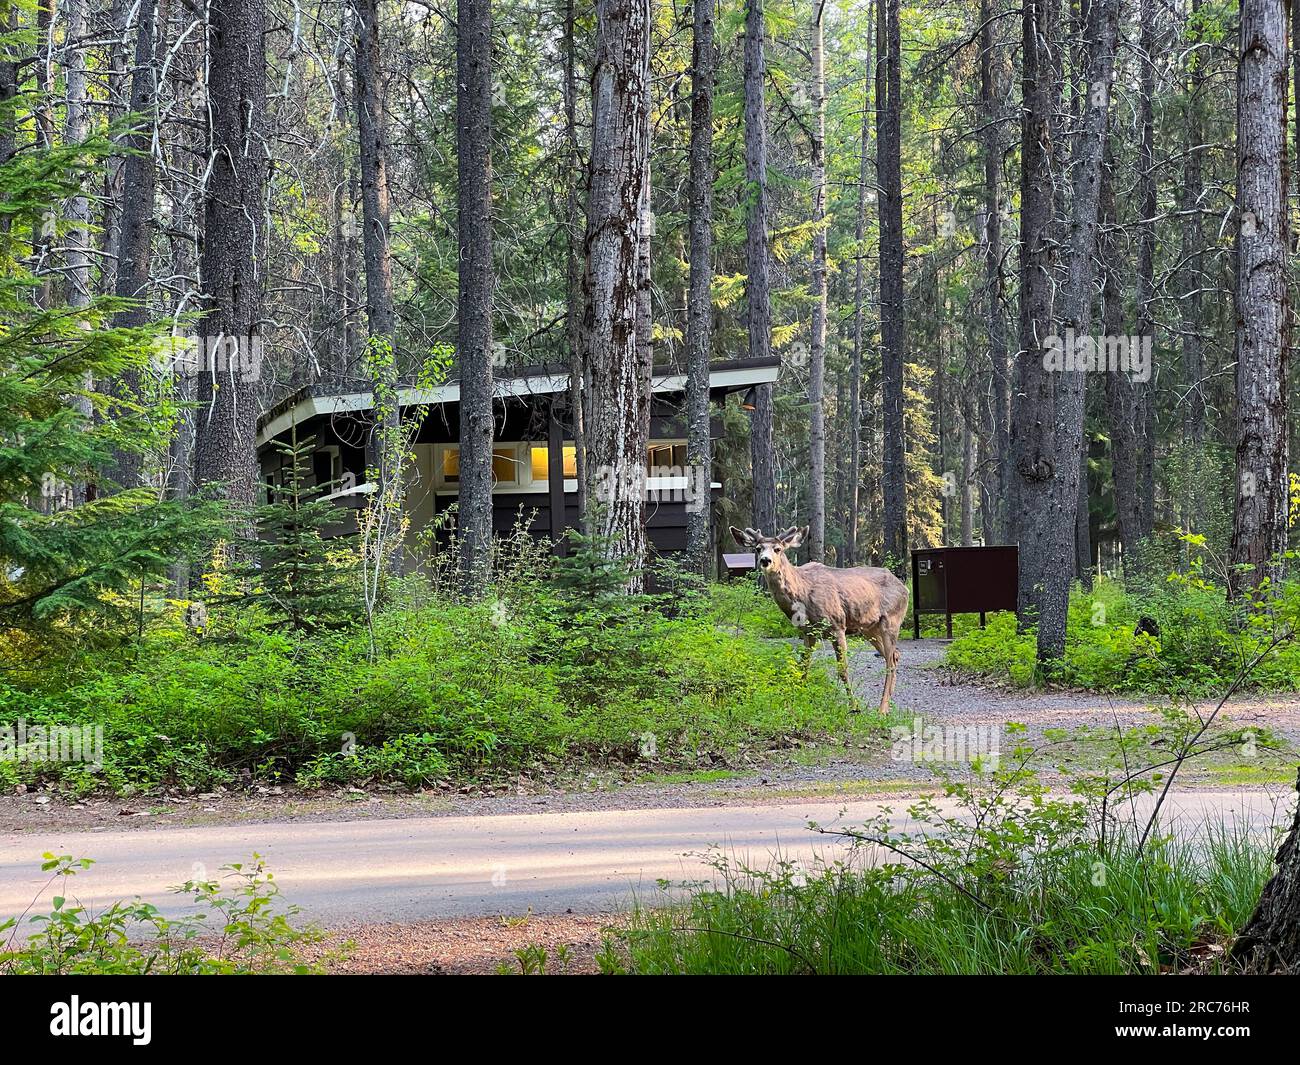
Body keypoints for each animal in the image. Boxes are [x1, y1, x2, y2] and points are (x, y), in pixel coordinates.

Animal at [733, 527, 904, 717]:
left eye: (778, 549)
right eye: (758, 548)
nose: (765, 560)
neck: (802, 593)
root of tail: (904, 587)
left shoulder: (838, 625)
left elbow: (842, 669)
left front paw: (854, 707)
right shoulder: (807, 631)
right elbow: (803, 666)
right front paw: (796, 698)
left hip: (891, 620)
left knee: (890, 663)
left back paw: (882, 709)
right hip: (869, 628)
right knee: (895, 656)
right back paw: (887, 704)